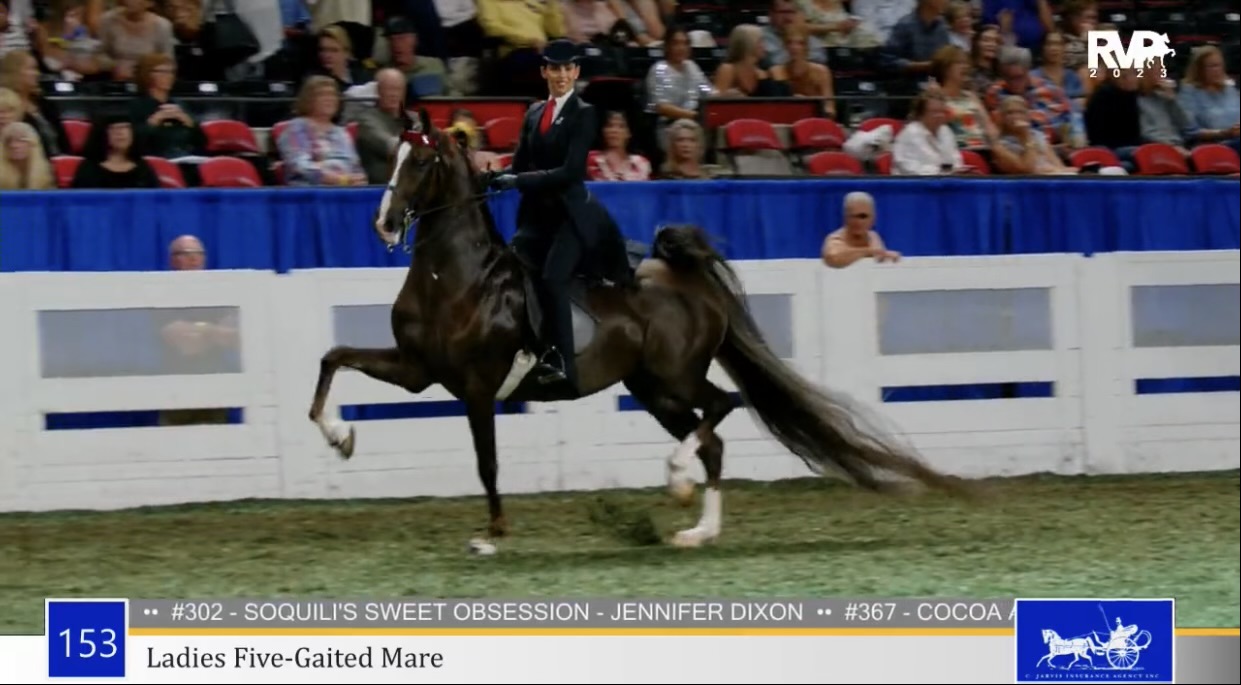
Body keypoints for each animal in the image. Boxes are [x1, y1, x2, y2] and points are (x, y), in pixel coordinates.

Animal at [306, 108, 974, 553]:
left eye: (420, 161)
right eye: (392, 156)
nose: (384, 224)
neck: (456, 276)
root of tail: (689, 281)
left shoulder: (475, 387)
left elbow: (486, 463)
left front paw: (492, 536)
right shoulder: (418, 371)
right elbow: (333, 357)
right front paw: (341, 437)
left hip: (674, 378)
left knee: (721, 409)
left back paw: (678, 486)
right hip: (654, 390)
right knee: (713, 438)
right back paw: (697, 529)